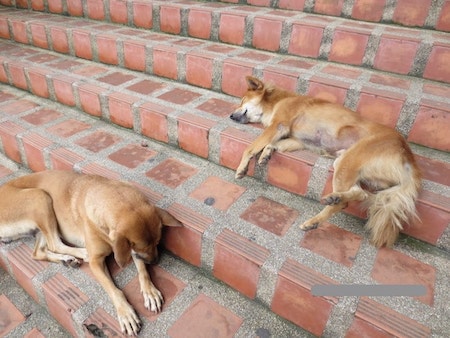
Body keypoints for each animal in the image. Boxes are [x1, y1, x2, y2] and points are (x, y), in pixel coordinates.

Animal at [0, 170, 183, 336]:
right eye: (144, 247)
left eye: (157, 243)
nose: (155, 261)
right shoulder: (100, 261)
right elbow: (113, 289)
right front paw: (125, 313)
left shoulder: (126, 248)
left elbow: (142, 270)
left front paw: (150, 291)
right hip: (40, 197)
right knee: (54, 243)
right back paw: (80, 253)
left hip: (39, 223)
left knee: (38, 252)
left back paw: (67, 259)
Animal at [232, 76, 422, 247]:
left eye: (241, 101)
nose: (231, 116)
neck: (280, 100)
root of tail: (409, 156)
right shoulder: (297, 141)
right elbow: (274, 144)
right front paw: (266, 153)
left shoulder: (278, 125)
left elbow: (250, 147)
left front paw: (242, 167)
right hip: (344, 162)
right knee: (360, 193)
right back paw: (334, 197)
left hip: (348, 161)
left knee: (348, 201)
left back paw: (316, 219)